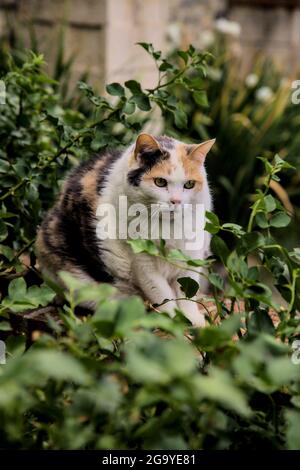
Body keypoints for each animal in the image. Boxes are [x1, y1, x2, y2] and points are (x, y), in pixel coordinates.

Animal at [36, 133, 214, 326]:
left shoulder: (192, 255)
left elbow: (188, 293)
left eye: (189, 184)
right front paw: (175, 321)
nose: (176, 201)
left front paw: (194, 319)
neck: (168, 228)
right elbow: (163, 294)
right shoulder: (143, 262)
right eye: (160, 182)